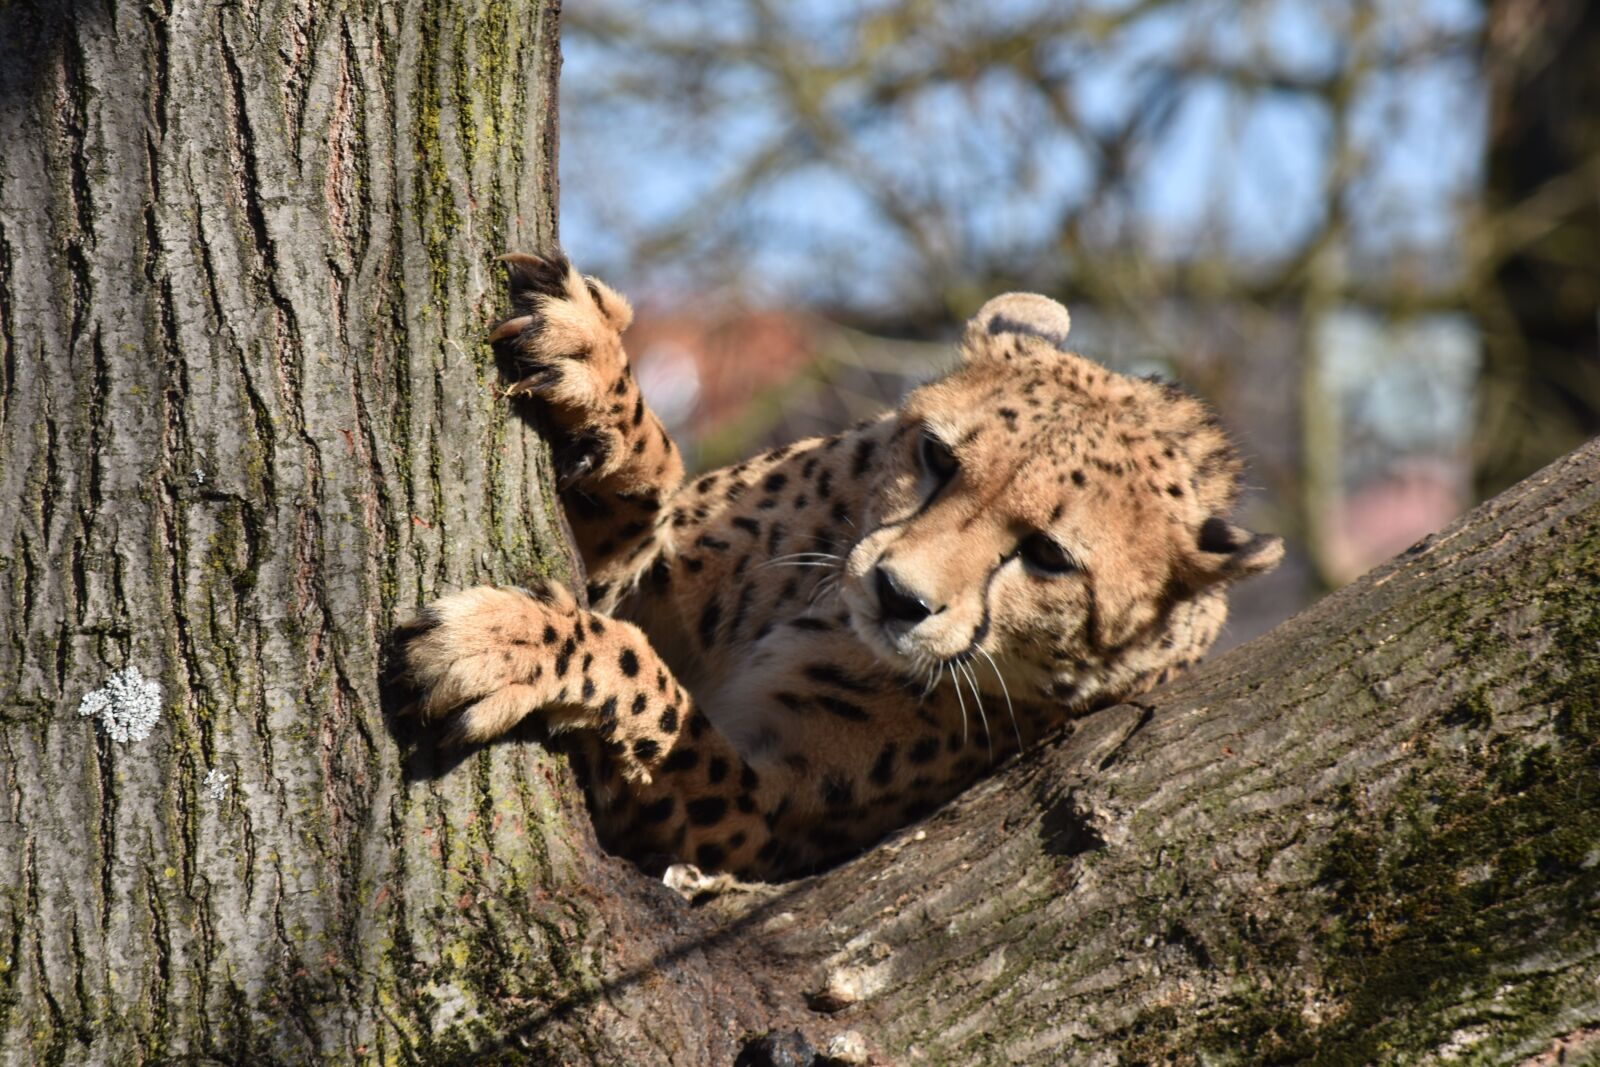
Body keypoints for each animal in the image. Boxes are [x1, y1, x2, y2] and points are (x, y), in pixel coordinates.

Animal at [395, 252, 1283, 881]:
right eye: (938, 457)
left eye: (1047, 555)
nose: (896, 594)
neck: (818, 604)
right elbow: (642, 504)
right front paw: (594, 368)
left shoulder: (755, 819)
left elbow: (657, 695)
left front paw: (510, 645)